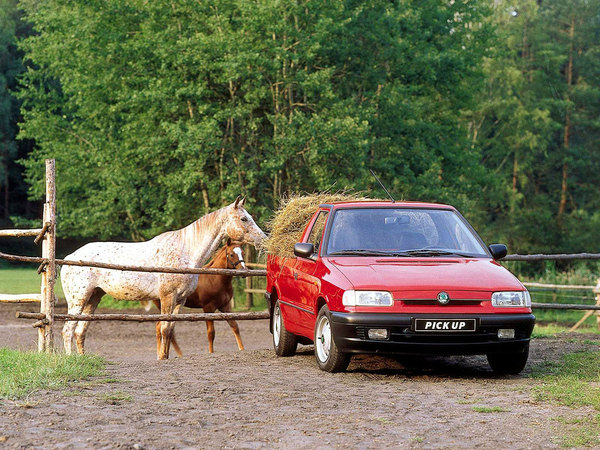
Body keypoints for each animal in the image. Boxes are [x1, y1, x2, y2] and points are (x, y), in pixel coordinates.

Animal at [59, 199, 264, 360]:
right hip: (78, 301)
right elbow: (165, 329)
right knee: (68, 330)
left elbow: (170, 329)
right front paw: (163, 357)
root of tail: (69, 258)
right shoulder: (168, 297)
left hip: (93, 298)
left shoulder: (180, 300)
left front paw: (164, 356)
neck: (184, 251)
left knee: (80, 331)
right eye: (244, 218)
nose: (263, 238)